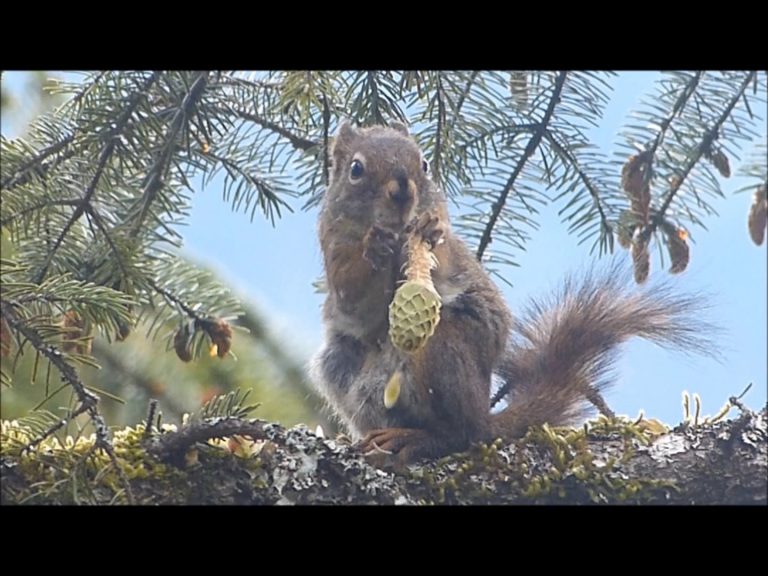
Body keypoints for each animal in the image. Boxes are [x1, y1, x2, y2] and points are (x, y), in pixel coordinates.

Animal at [310, 121, 710, 465]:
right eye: (356, 169)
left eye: (423, 163)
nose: (402, 190)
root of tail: (483, 412)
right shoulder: (335, 251)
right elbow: (354, 296)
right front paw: (373, 246)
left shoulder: (450, 253)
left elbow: (444, 256)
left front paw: (429, 230)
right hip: (341, 369)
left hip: (443, 348)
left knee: (462, 434)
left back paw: (422, 439)